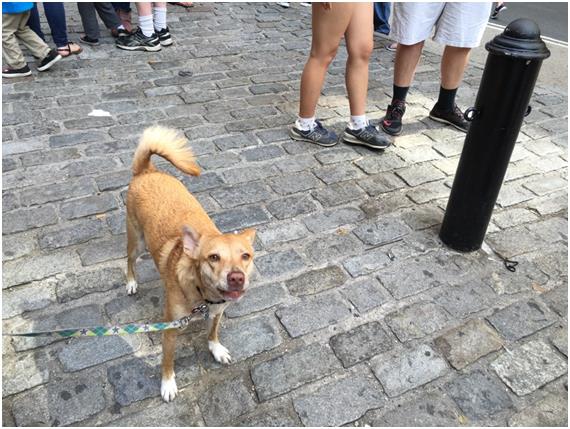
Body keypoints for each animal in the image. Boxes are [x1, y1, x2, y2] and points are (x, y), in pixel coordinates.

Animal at [126, 125, 255, 400]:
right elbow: (168, 361)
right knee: (129, 260)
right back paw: (131, 282)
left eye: (246, 256)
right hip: (136, 241)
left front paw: (216, 349)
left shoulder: (217, 313)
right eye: (213, 257)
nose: (236, 278)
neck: (204, 297)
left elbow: (213, 333)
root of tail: (147, 170)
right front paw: (167, 384)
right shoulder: (170, 329)